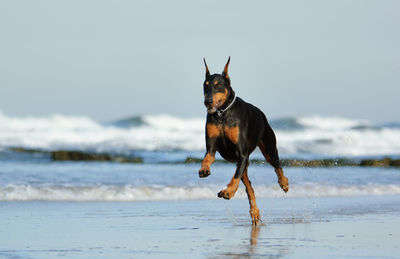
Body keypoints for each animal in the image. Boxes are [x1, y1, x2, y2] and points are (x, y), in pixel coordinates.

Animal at [199, 57, 288, 225]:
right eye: (205, 86)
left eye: (218, 85)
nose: (207, 101)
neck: (222, 114)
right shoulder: (212, 147)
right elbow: (207, 157)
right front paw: (204, 169)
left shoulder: (242, 153)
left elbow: (235, 177)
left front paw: (228, 192)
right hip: (242, 163)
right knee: (249, 186)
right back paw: (254, 211)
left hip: (267, 148)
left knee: (276, 165)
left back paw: (284, 183)